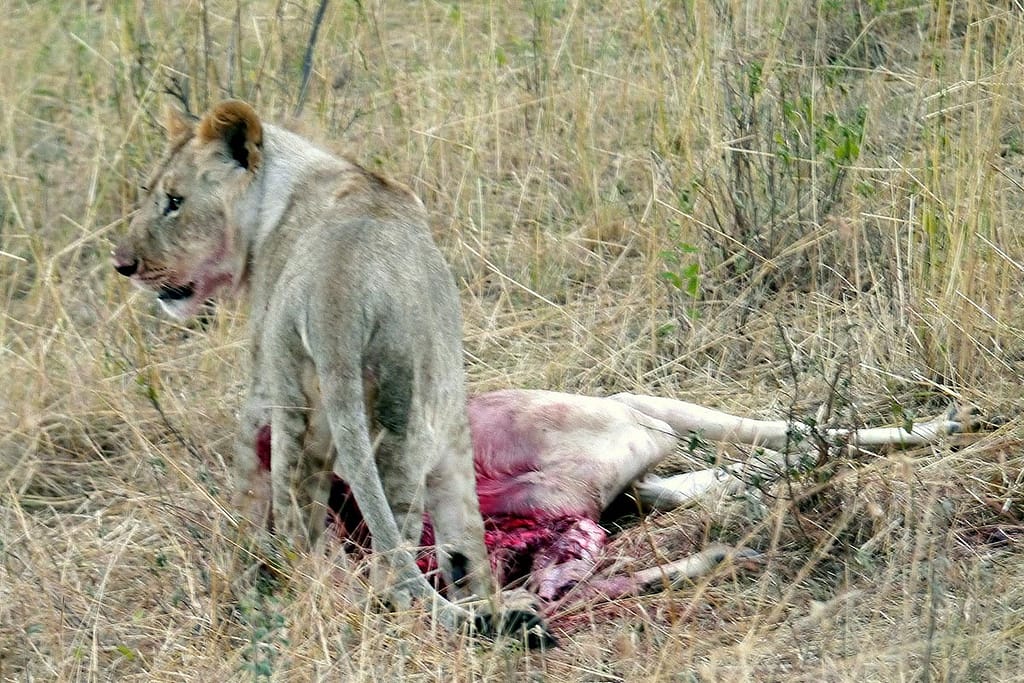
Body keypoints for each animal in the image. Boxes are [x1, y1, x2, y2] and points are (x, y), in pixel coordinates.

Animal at [112, 99, 551, 646]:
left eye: (174, 201)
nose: (122, 263)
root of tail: (336, 295)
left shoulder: (261, 380)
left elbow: (247, 493)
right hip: (429, 418)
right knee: (441, 539)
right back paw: (486, 609)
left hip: (296, 410)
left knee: (307, 534)